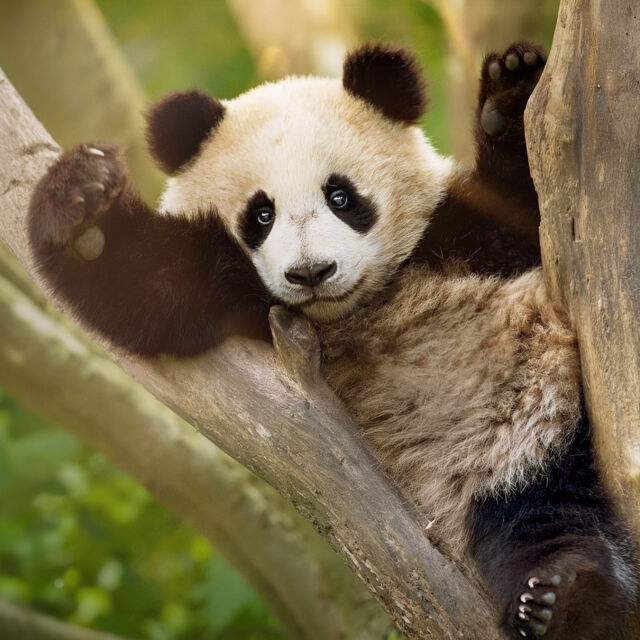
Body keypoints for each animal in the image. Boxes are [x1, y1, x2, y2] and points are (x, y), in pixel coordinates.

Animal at [28, 42, 637, 639]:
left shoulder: (457, 231)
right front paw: (80, 197)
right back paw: (562, 598)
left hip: (532, 424)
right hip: (486, 473)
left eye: (341, 197)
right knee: (536, 521)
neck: (357, 307)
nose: (311, 272)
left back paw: (565, 597)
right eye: (261, 214)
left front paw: (512, 89)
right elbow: (141, 284)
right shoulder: (231, 293)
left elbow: (527, 205)